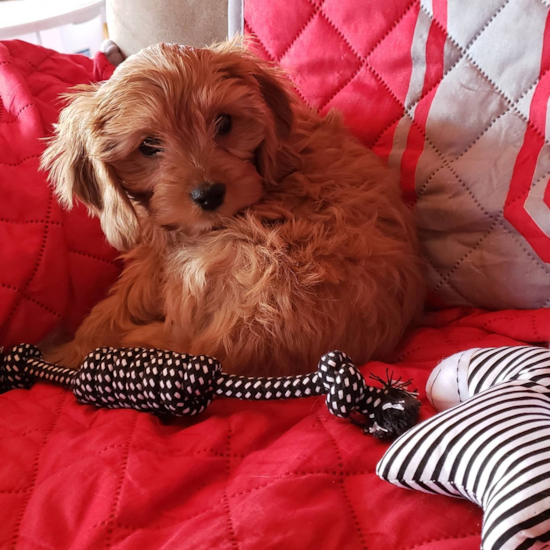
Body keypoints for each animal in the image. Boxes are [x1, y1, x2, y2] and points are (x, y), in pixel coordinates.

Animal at [42, 41, 426, 378]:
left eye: (224, 122)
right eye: (148, 145)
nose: (209, 195)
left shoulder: (163, 259)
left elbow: (122, 301)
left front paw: (68, 350)